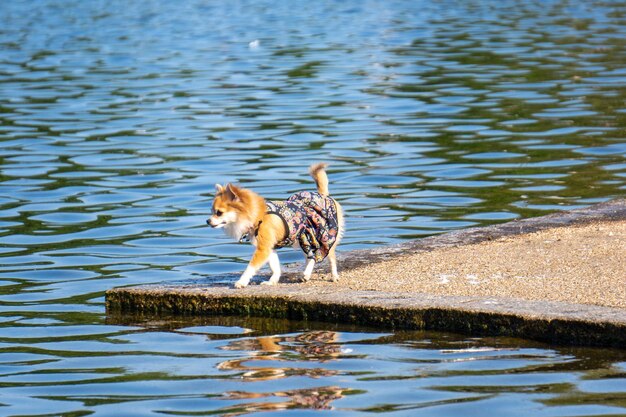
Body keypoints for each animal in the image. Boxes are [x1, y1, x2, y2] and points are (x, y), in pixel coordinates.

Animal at [207, 164, 344, 288]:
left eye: (219, 213)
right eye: (212, 211)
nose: (207, 221)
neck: (258, 216)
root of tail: (323, 195)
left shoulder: (263, 248)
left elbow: (250, 267)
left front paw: (241, 282)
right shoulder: (269, 247)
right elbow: (275, 266)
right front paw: (272, 281)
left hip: (324, 237)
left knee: (330, 257)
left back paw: (334, 276)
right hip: (304, 238)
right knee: (311, 257)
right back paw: (306, 274)